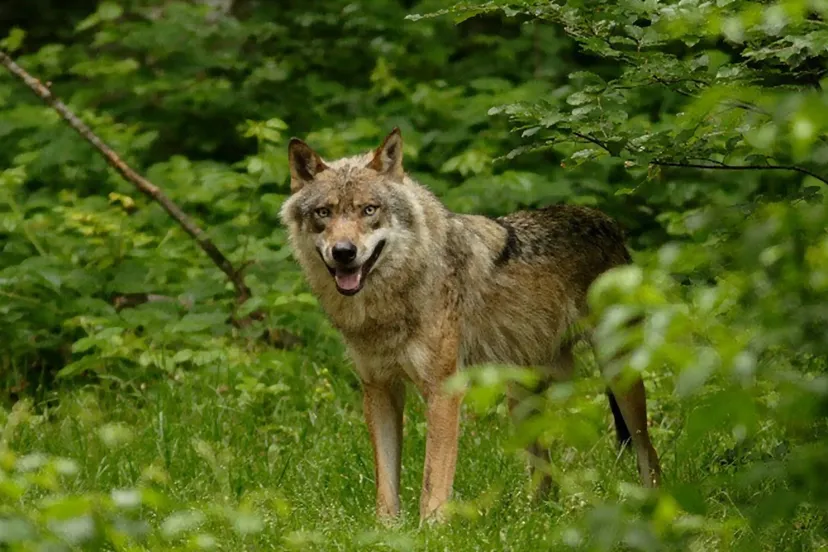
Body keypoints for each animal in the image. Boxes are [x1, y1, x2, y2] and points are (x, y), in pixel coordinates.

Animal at [279, 128, 661, 523]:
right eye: (324, 213)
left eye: (369, 210)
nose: (343, 252)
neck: (390, 303)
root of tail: (607, 222)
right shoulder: (379, 389)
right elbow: (385, 483)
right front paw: (385, 529)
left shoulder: (444, 391)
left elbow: (433, 480)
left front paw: (431, 528)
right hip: (520, 401)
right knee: (545, 477)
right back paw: (534, 518)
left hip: (619, 377)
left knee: (649, 453)